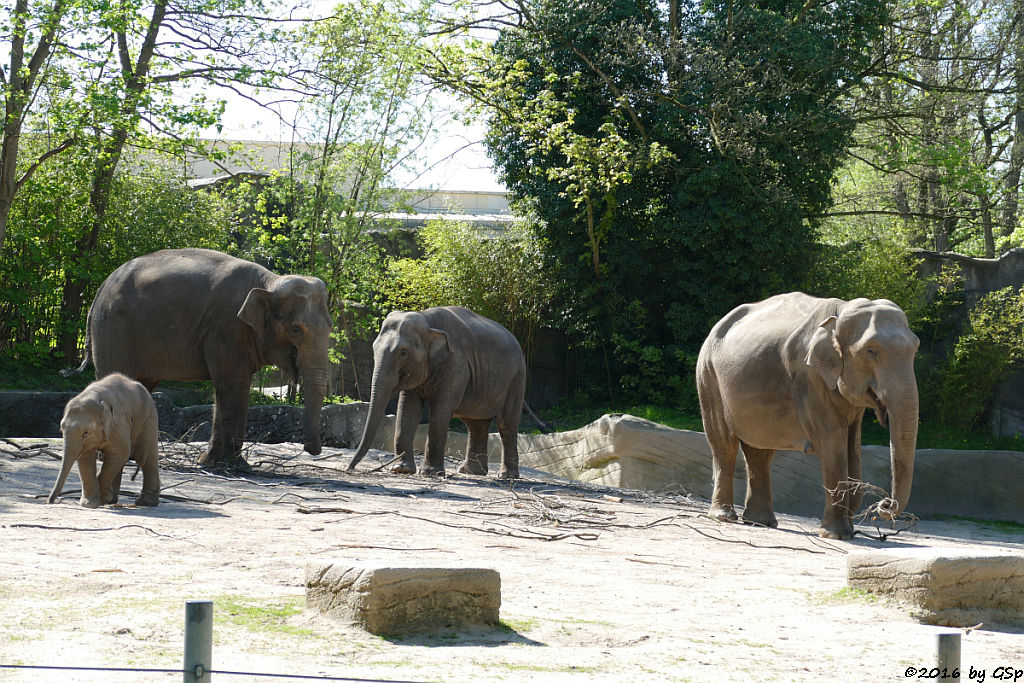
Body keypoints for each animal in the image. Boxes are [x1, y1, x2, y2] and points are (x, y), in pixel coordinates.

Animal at [49, 374, 159, 507]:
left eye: (85, 433)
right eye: (61, 429)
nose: (50, 501)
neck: (95, 397)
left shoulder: (119, 423)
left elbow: (120, 452)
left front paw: (103, 498)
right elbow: (86, 458)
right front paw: (90, 504)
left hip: (148, 419)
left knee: (145, 456)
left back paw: (145, 503)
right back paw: (113, 500)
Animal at [64, 249, 333, 471]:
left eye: (331, 327)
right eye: (296, 329)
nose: (312, 450)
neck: (269, 281)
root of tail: (101, 287)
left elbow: (228, 387)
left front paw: (212, 462)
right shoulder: (226, 329)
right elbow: (232, 385)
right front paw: (231, 465)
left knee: (139, 388)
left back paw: (129, 456)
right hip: (112, 330)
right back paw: (112, 456)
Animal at [350, 307, 528, 479]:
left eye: (403, 352)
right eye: (374, 348)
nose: (350, 468)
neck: (428, 320)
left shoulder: (457, 364)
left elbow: (441, 410)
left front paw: (429, 473)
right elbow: (408, 409)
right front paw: (401, 469)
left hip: (516, 380)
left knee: (506, 424)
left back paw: (506, 476)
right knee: (476, 423)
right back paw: (471, 472)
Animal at [696, 292, 921, 540]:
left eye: (915, 349)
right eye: (870, 351)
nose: (884, 504)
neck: (840, 312)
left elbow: (853, 446)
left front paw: (849, 530)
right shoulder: (808, 379)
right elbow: (832, 442)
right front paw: (836, 535)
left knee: (759, 451)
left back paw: (760, 522)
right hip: (708, 376)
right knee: (724, 443)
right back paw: (724, 517)